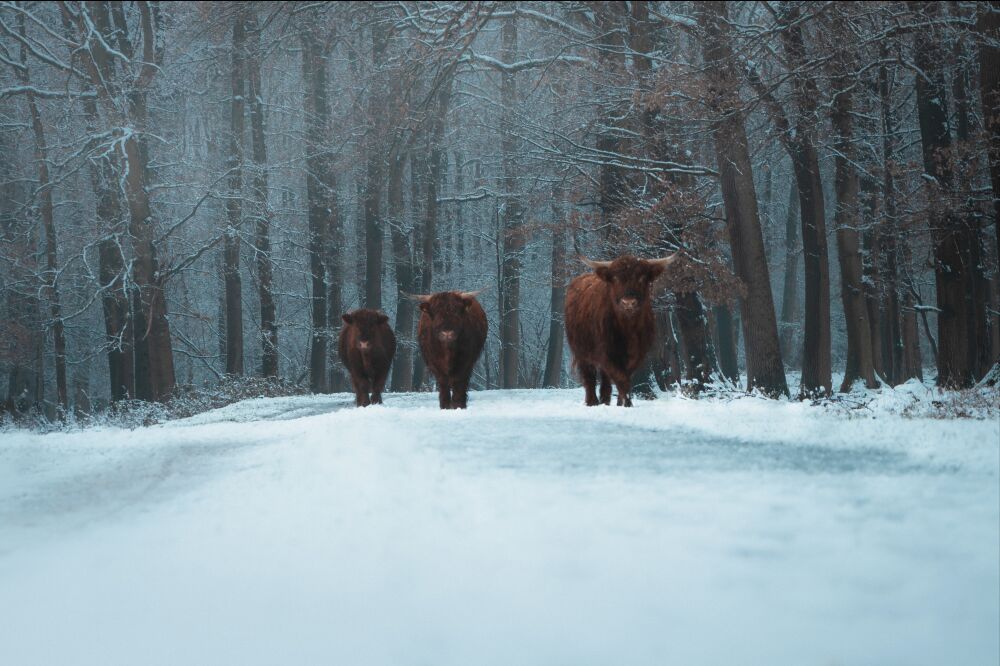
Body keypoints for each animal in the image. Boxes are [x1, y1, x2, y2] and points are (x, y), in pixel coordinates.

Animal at [568, 253, 676, 404]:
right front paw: (626, 403)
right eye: (615, 279)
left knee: (605, 380)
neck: (628, 329)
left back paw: (605, 401)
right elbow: (620, 378)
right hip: (581, 351)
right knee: (589, 377)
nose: (628, 303)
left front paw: (622, 403)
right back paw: (592, 402)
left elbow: (625, 378)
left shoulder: (638, 354)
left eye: (642, 278)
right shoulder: (607, 353)